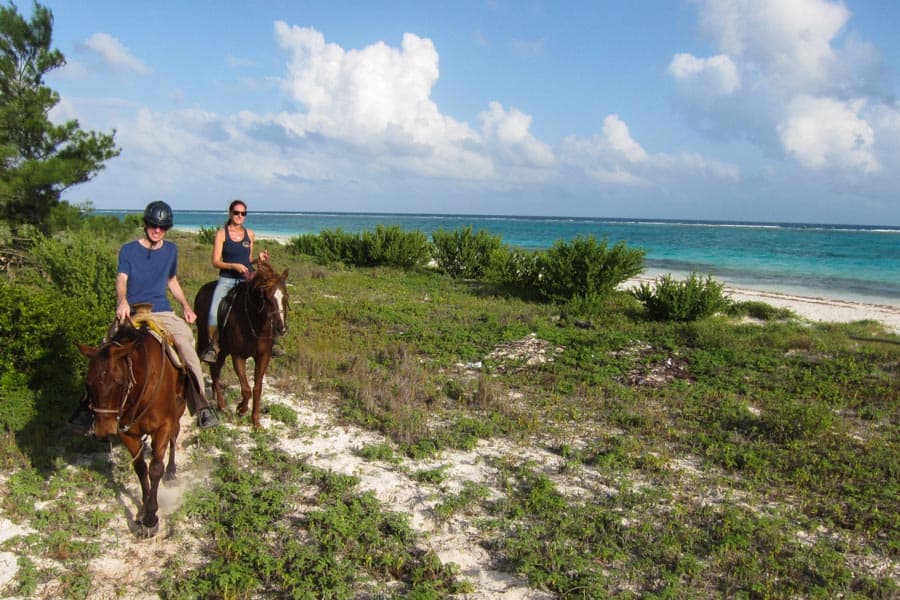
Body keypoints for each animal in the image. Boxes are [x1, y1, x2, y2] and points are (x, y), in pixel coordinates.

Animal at [78, 322, 187, 536]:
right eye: (88, 384)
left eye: (119, 382)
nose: (103, 432)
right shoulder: (127, 433)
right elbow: (140, 468)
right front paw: (143, 511)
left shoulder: (164, 425)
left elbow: (155, 468)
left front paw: (151, 518)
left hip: (179, 409)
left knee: (174, 437)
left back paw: (171, 471)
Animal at [195, 260, 290, 428]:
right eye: (266, 298)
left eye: (285, 296)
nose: (281, 329)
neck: (254, 322)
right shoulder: (238, 356)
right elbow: (245, 389)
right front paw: (241, 409)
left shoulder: (263, 356)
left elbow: (257, 389)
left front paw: (256, 422)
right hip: (207, 341)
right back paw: (218, 404)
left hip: (223, 350)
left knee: (215, 371)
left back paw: (219, 402)